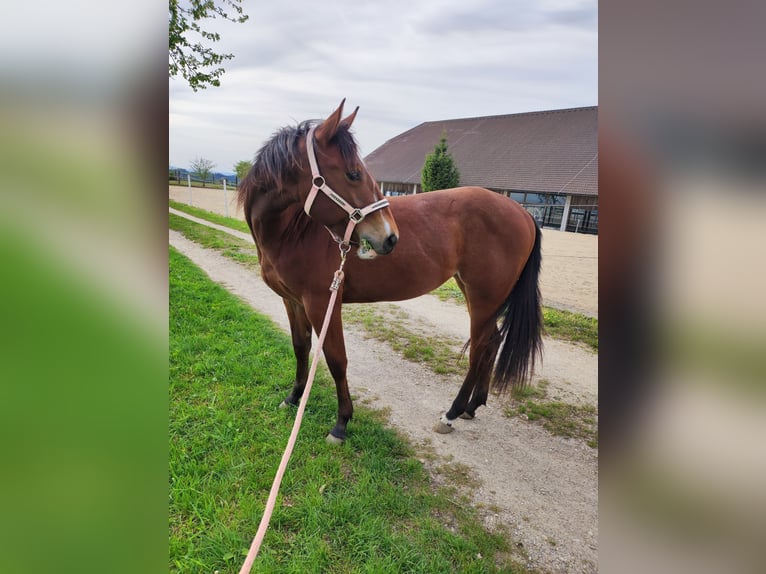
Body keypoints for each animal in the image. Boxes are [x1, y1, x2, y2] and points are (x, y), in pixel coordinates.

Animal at [237, 100, 544, 446]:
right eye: (353, 173)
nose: (390, 237)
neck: (294, 232)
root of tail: (523, 213)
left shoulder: (322, 303)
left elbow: (336, 359)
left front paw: (341, 423)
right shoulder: (293, 301)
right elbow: (301, 348)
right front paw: (293, 398)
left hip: (484, 297)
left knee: (480, 348)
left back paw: (451, 414)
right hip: (473, 291)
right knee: (491, 343)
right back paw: (472, 406)